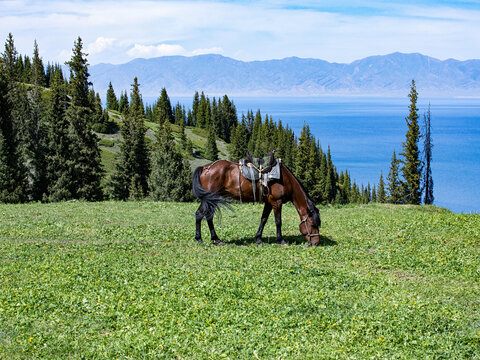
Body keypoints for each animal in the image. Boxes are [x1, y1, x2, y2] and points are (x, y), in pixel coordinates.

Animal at [189, 156, 320, 246]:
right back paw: (201, 238)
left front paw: (258, 238)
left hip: (211, 200)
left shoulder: (269, 203)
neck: (285, 179)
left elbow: (263, 219)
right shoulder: (277, 202)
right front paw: (281, 240)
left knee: (207, 216)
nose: (316, 243)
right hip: (209, 199)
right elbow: (278, 221)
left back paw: (215, 239)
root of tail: (205, 168)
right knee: (200, 214)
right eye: (313, 224)